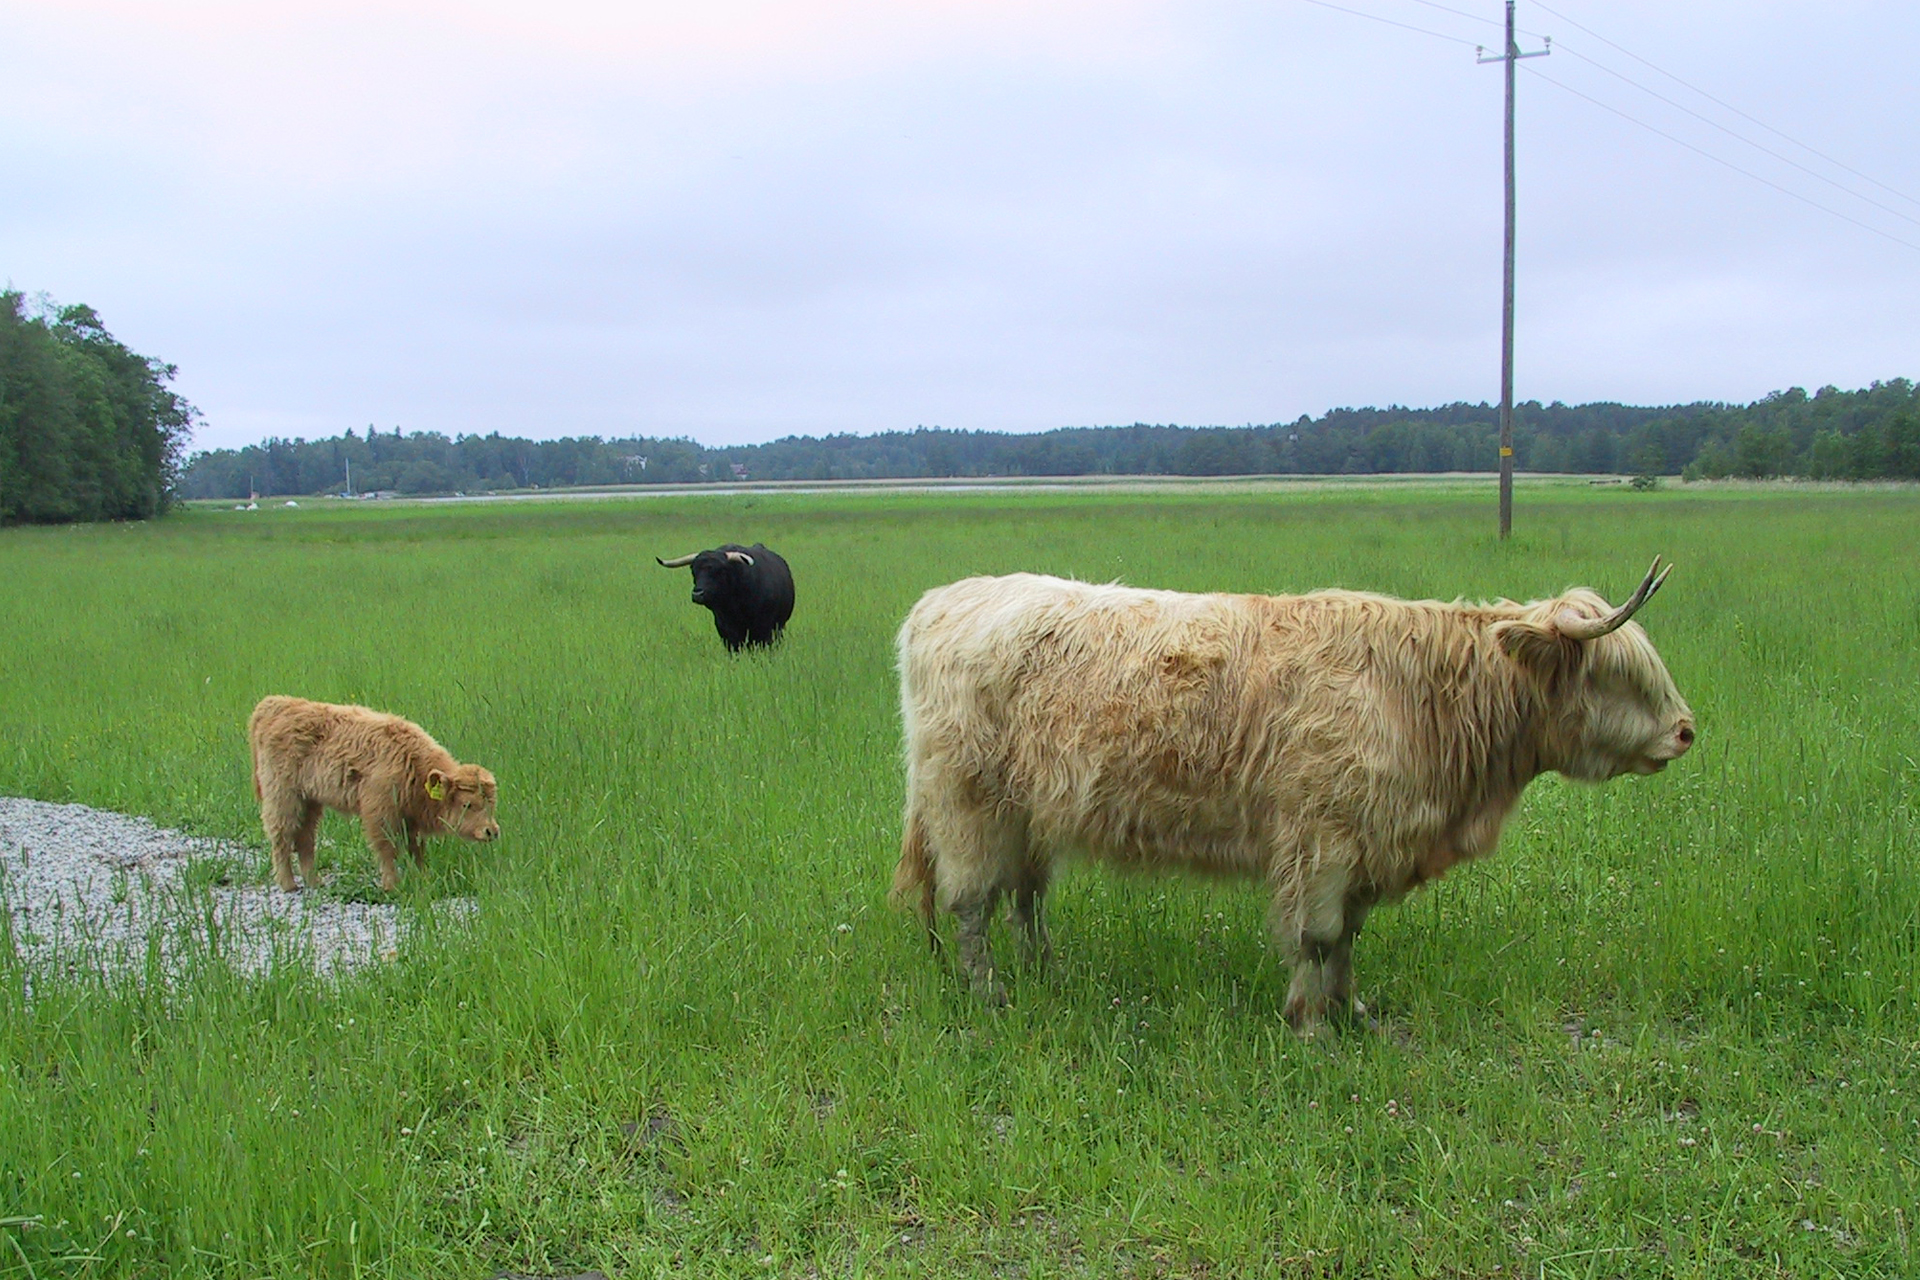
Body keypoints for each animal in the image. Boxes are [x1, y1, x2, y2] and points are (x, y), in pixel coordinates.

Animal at [247, 702, 499, 890]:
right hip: (283, 797)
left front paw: (422, 878)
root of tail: (275, 704)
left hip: (310, 801)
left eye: (491, 804)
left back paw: (313, 881)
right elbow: (387, 848)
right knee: (281, 835)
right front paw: (392, 885)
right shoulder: (380, 813)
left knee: (305, 837)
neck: (412, 763)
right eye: (467, 804)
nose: (492, 831)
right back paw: (288, 884)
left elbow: (416, 849)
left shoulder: (409, 819)